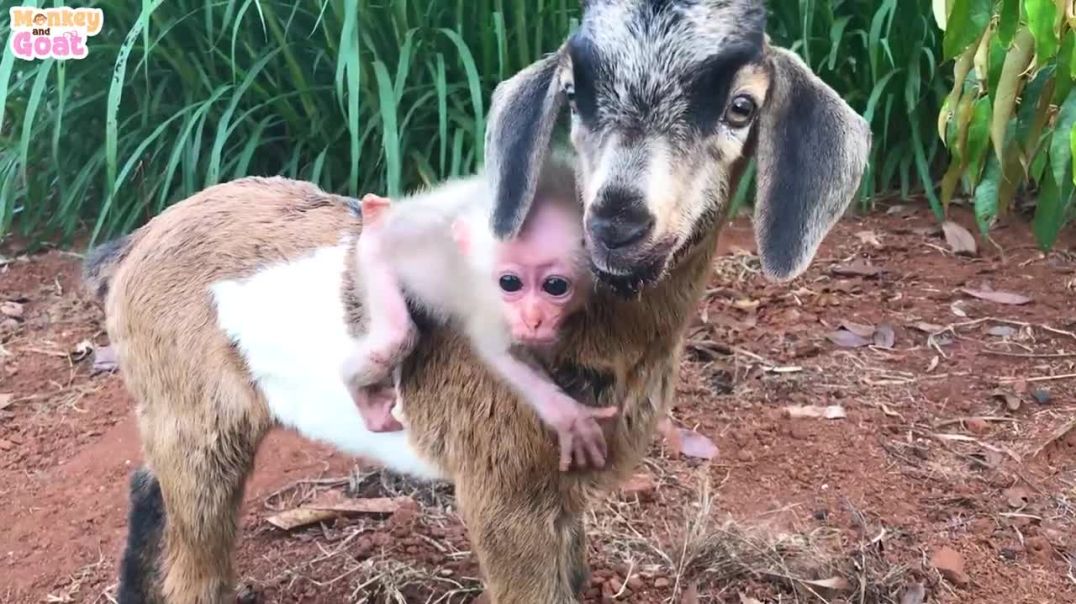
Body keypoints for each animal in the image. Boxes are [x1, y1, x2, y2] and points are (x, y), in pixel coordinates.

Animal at [341, 168, 618, 472]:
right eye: (510, 283)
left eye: (555, 286)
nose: (533, 319)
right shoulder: (491, 309)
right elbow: (500, 354)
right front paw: (571, 418)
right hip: (373, 259)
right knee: (396, 337)